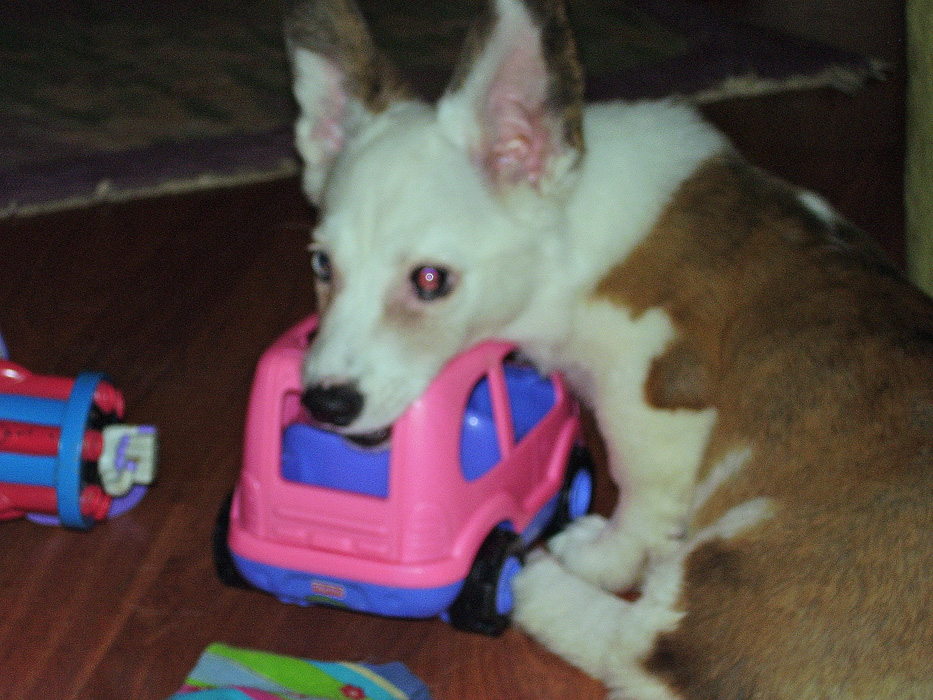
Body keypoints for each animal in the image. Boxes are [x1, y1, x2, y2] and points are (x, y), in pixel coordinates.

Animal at [285, 0, 933, 697]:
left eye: (431, 280)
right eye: (321, 264)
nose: (323, 405)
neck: (568, 235)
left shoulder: (647, 395)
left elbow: (639, 491)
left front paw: (603, 554)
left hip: (742, 558)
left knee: (639, 649)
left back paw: (537, 577)